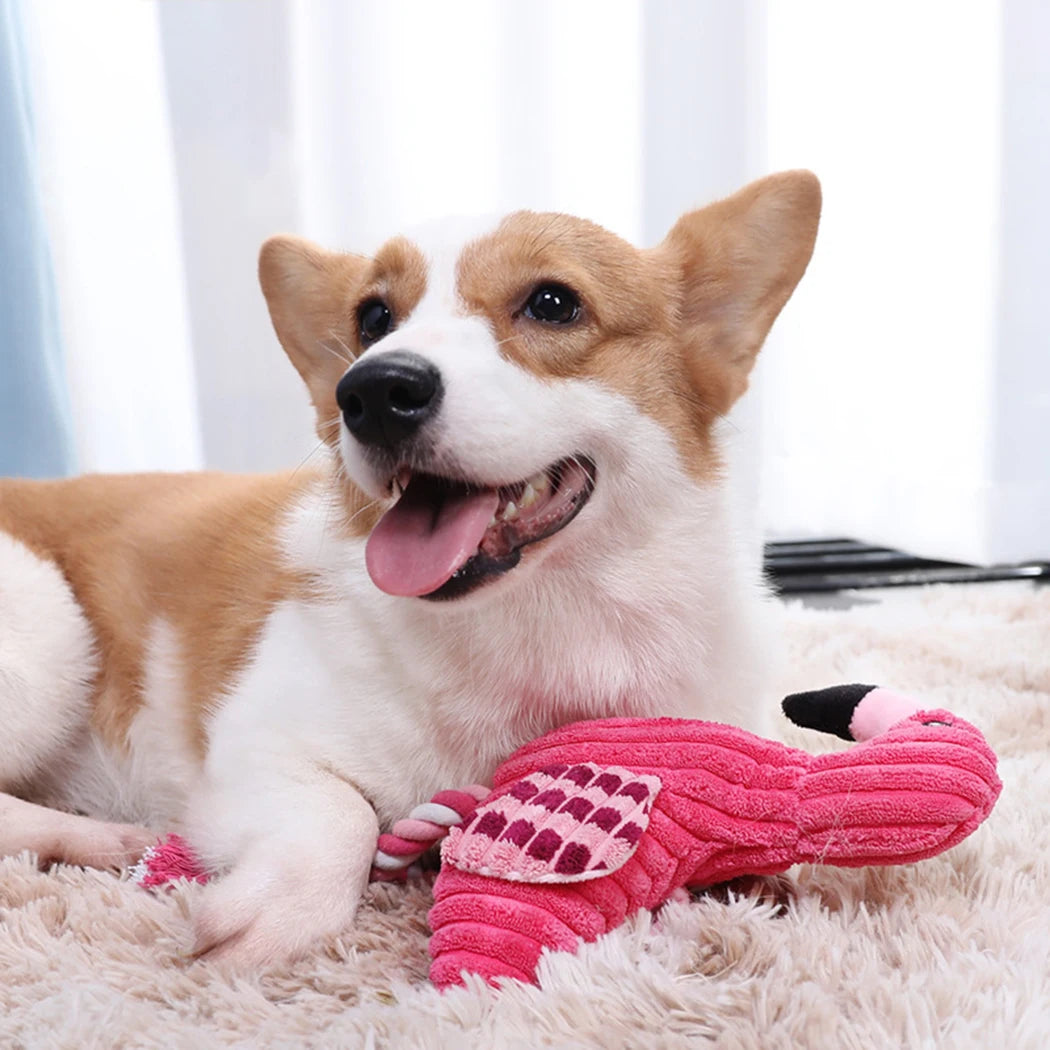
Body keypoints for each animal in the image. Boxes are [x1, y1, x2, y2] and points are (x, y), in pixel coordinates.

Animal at [0, 170, 818, 965]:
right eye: (372, 318)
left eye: (554, 303)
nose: (371, 390)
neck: (541, 623)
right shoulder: (250, 746)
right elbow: (345, 814)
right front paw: (276, 912)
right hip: (51, 630)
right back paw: (96, 838)